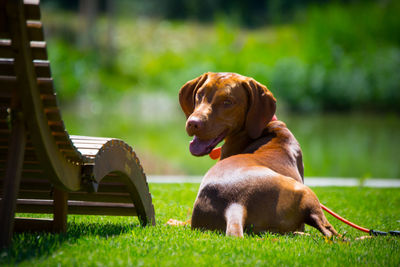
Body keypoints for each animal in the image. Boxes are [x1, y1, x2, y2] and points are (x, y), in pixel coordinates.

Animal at [178, 72, 338, 238]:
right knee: (327, 232)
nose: (193, 123)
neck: (265, 129)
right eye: (199, 94)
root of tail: (235, 203)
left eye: (227, 102)